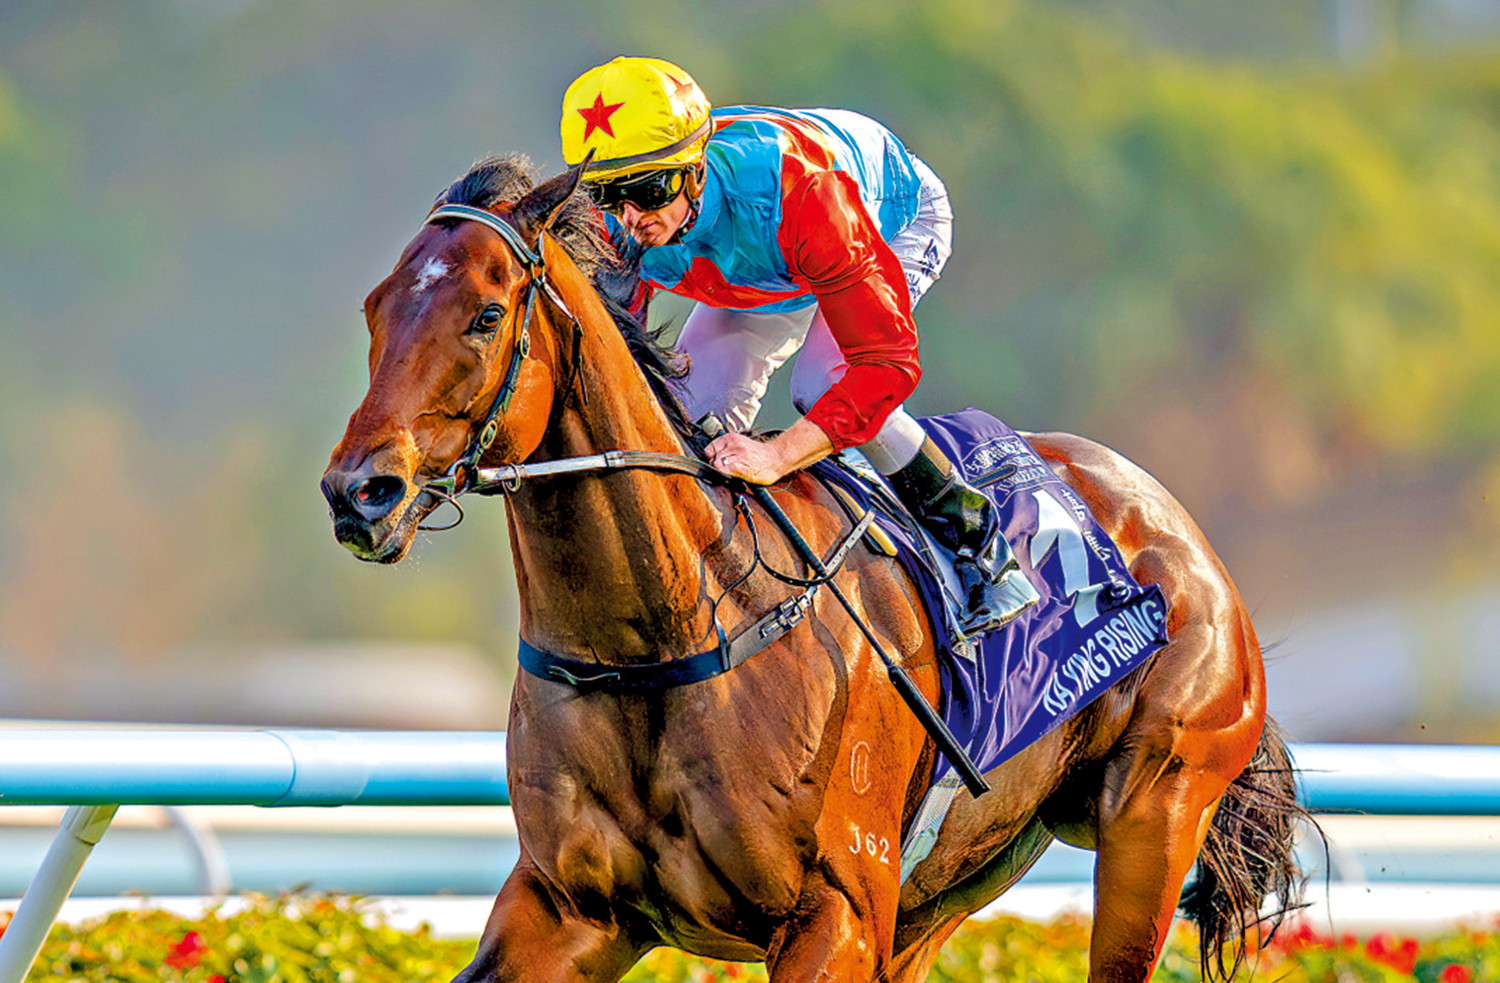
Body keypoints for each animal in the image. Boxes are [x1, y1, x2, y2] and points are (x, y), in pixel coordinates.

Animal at [321, 154, 1302, 982]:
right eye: (373, 309)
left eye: (486, 316)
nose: (358, 492)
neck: (668, 634)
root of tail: (1180, 533)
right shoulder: (569, 908)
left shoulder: (837, 910)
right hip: (952, 881)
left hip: (1156, 811)